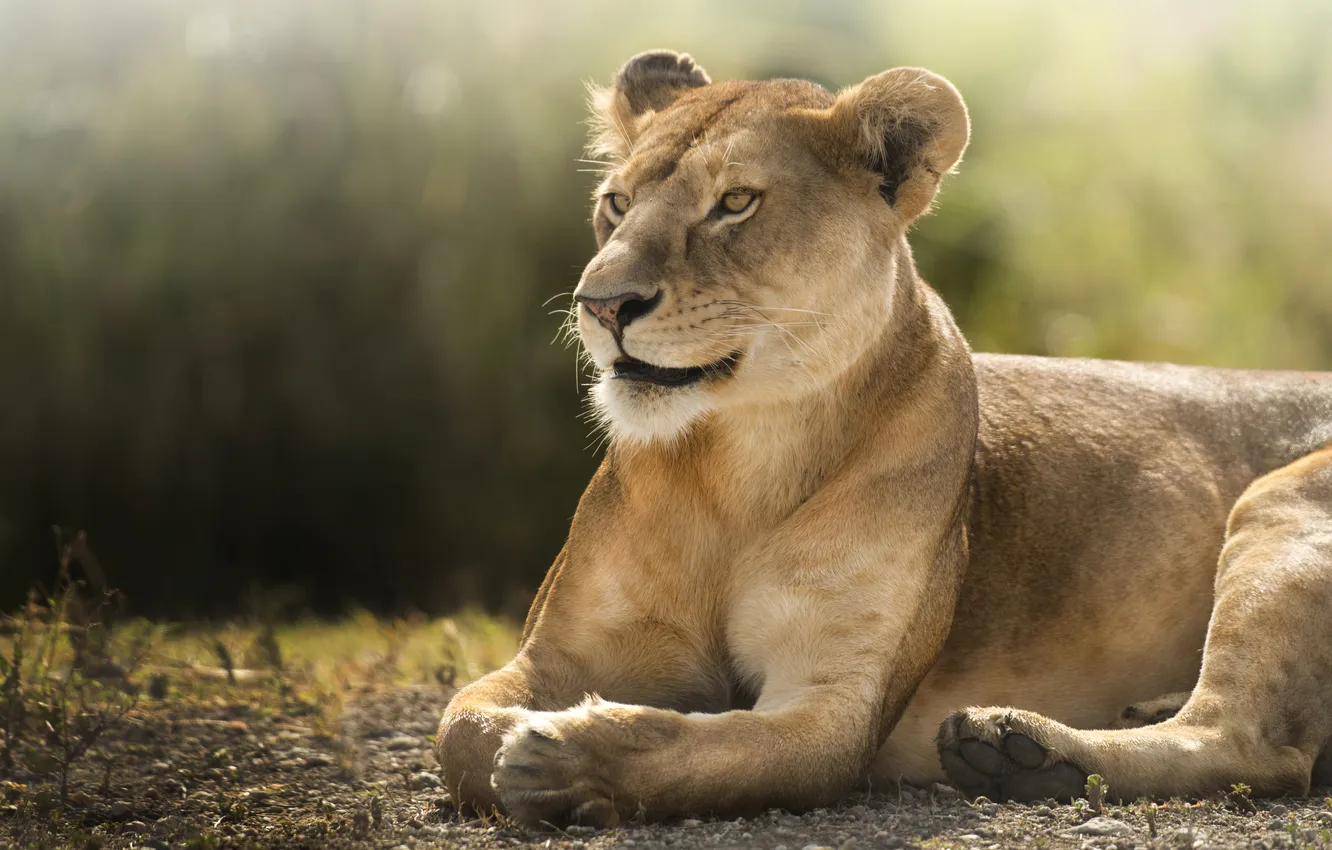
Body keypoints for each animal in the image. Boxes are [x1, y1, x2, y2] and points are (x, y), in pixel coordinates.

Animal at [434, 50, 1332, 826]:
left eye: (735, 203)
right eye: (616, 204)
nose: (600, 304)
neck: (738, 464)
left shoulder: (835, 708)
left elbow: (698, 749)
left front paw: (563, 760)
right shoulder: (555, 657)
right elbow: (458, 730)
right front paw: (524, 745)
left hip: (1279, 501)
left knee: (1249, 746)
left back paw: (1021, 751)